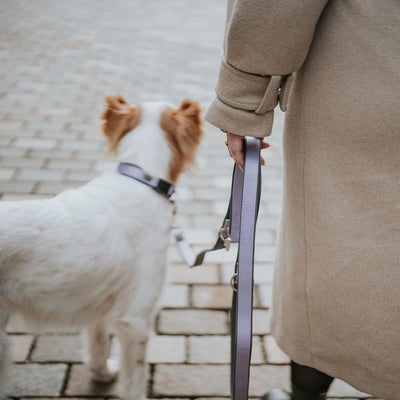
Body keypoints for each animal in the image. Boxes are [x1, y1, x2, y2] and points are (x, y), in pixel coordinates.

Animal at [0, 95, 203, 398]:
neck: (140, 179)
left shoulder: (99, 304)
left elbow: (98, 345)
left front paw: (103, 373)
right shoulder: (136, 318)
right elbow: (135, 379)